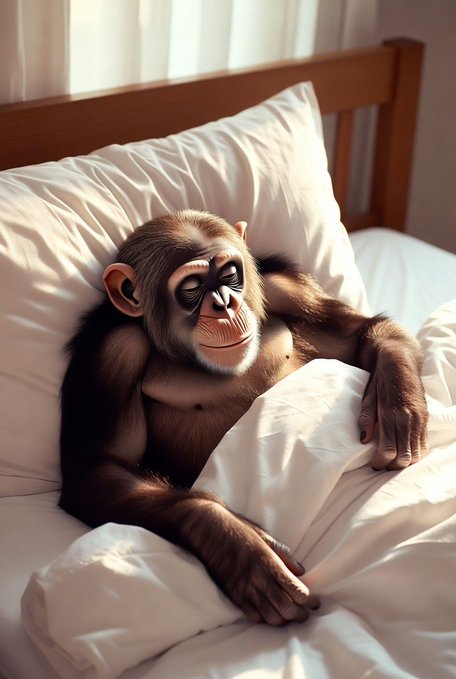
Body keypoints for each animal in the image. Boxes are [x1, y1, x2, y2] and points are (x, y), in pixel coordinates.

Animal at [59, 209, 428, 627]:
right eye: (191, 286)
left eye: (229, 273)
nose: (224, 304)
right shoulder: (113, 354)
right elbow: (99, 470)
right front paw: (238, 545)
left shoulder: (285, 289)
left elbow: (359, 333)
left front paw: (397, 399)